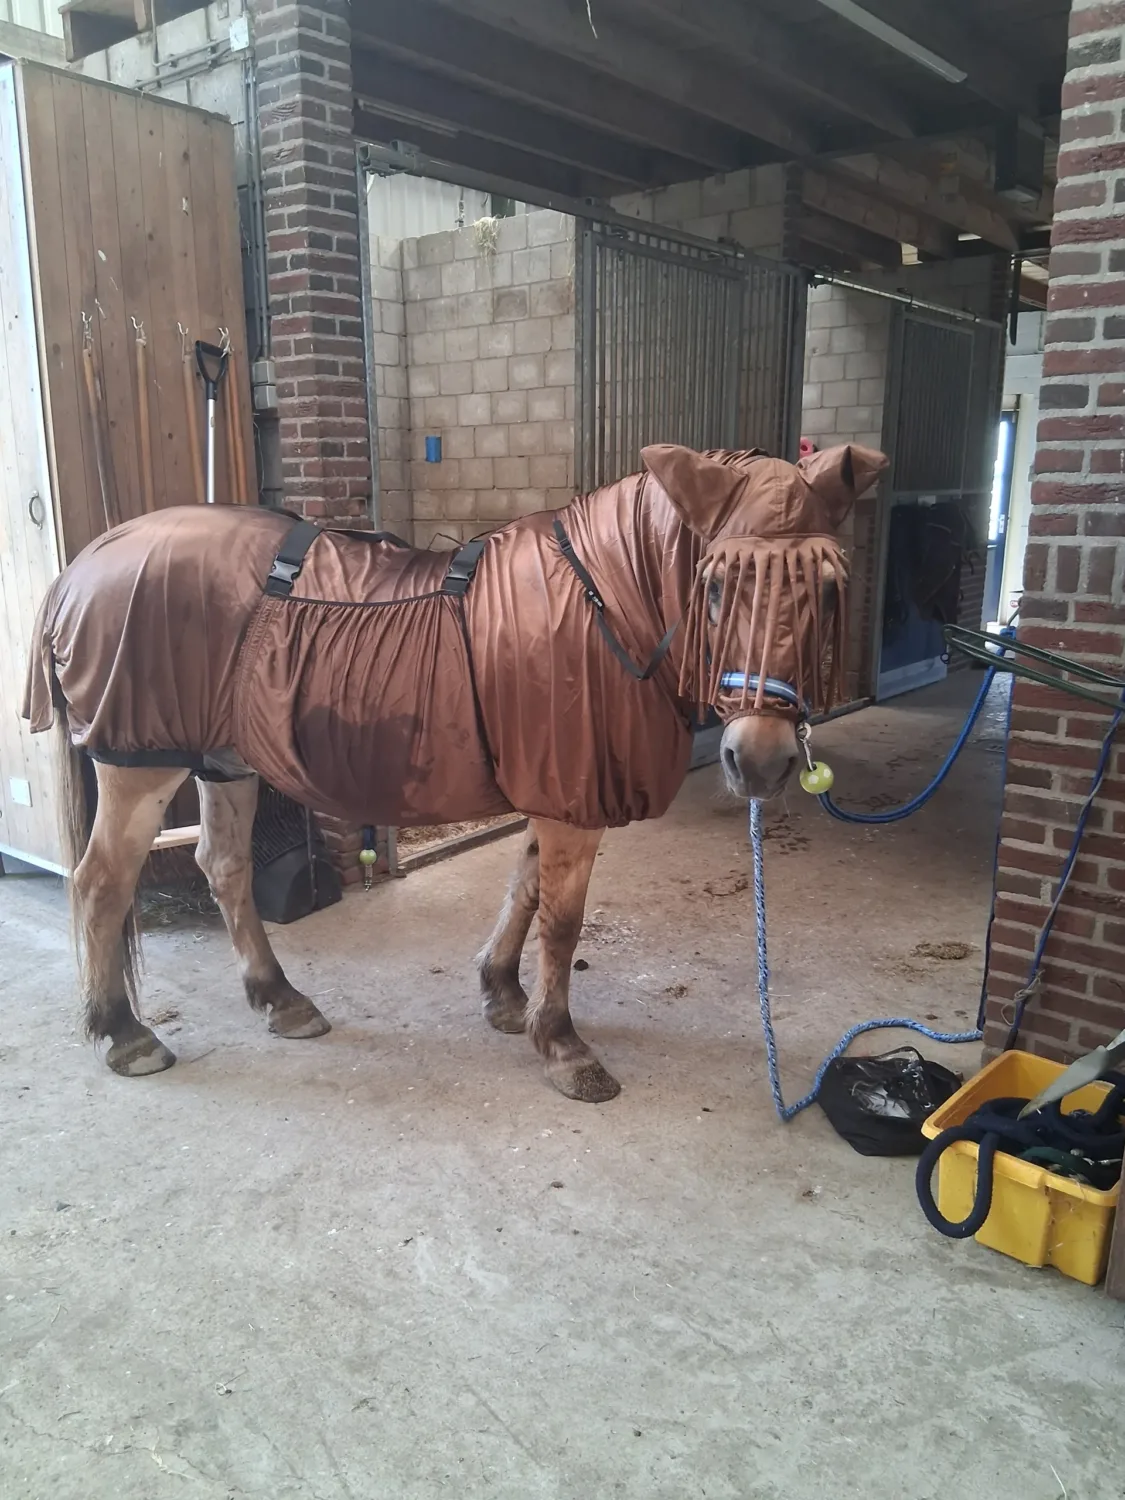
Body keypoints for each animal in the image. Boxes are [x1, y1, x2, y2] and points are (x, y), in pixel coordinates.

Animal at [22, 440, 886, 1103]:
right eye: (713, 585)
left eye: (829, 588)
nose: (760, 758)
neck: (608, 602)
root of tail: (84, 564)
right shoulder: (571, 797)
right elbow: (561, 921)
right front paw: (562, 1044)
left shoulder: (556, 786)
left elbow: (524, 890)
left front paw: (503, 994)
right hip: (142, 764)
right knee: (101, 884)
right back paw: (125, 1034)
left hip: (223, 760)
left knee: (224, 866)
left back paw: (280, 999)